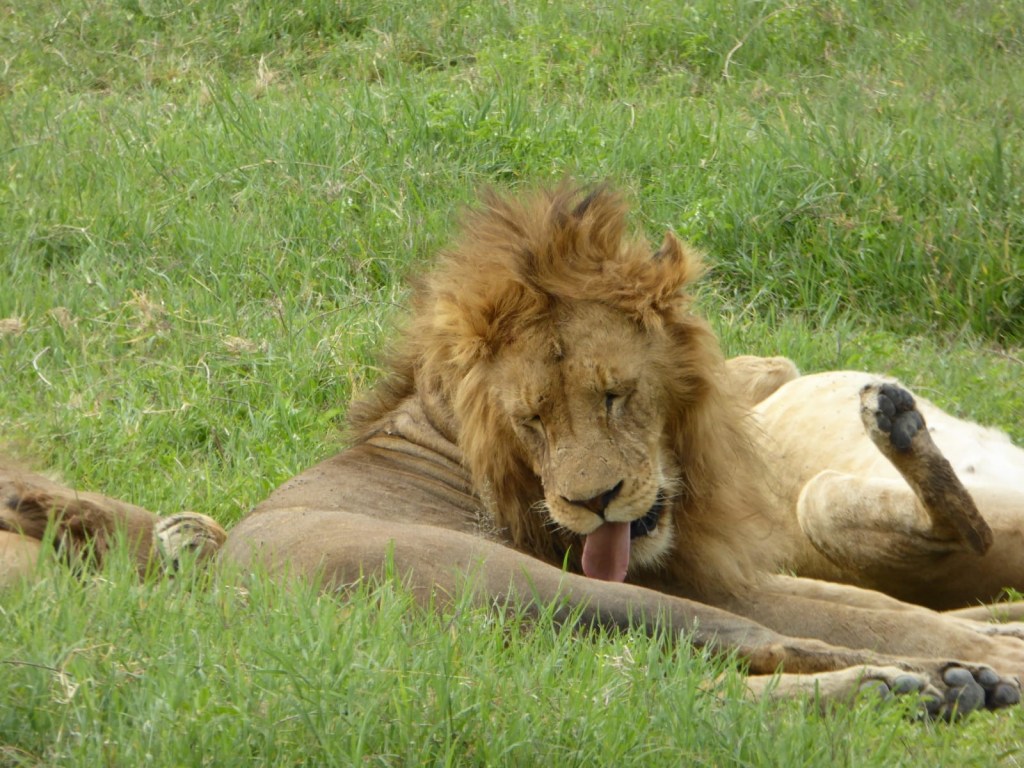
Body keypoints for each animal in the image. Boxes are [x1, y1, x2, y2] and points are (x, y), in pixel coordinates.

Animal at [3, 184, 1024, 717]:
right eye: (533, 418)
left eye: (614, 394)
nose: (594, 502)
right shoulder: (690, 579)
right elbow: (883, 616)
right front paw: (978, 650)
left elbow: (886, 605)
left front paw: (991, 630)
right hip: (532, 587)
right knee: (735, 657)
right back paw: (932, 687)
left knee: (677, 688)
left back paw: (934, 684)